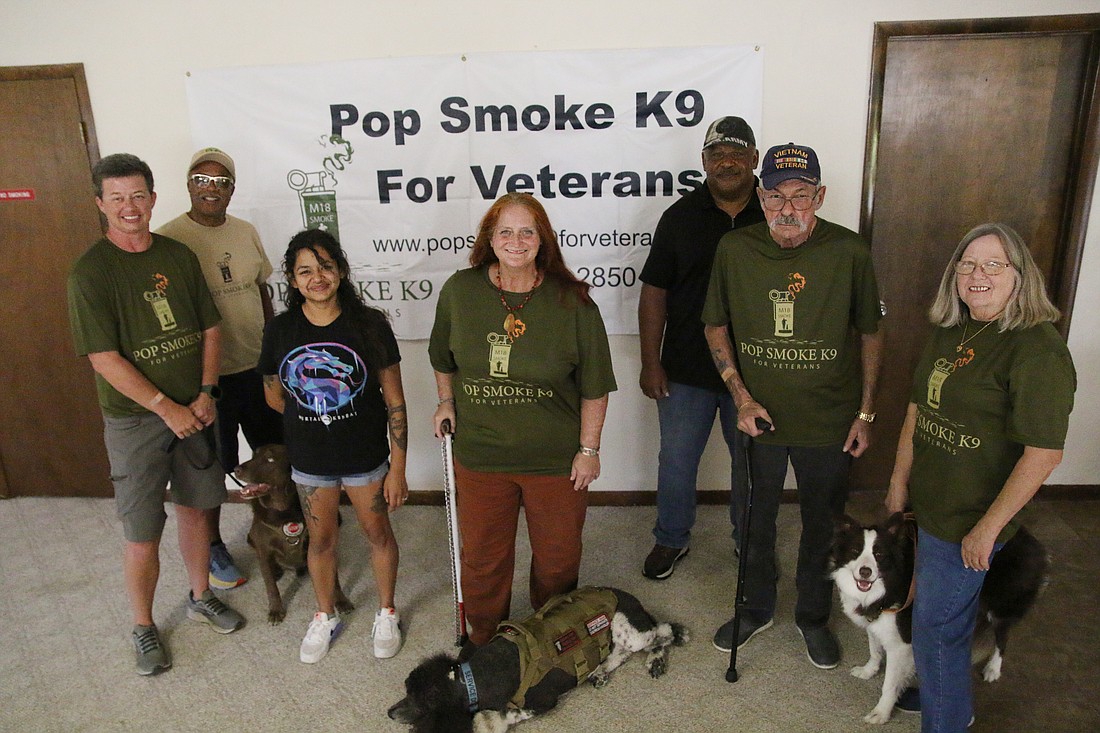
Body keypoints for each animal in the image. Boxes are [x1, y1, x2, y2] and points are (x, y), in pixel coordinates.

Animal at [235, 442, 352, 620]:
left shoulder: (320, 543)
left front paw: (341, 601)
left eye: (270, 459)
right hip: (251, 539)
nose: (236, 469)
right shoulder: (264, 550)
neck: (282, 512)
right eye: (254, 455)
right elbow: (271, 586)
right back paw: (276, 571)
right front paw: (276, 610)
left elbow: (334, 579)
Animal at [385, 581, 677, 730]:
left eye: (420, 700)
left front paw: (491, 720)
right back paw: (601, 671)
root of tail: (637, 602)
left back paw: (657, 658)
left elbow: (511, 713)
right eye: (407, 691)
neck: (470, 680)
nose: (389, 712)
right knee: (621, 653)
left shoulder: (544, 701)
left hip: (631, 630)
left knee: (661, 633)